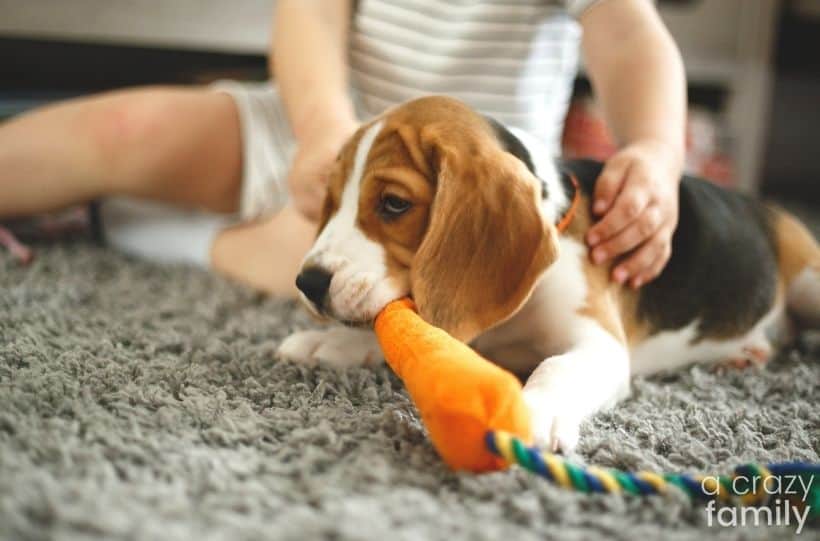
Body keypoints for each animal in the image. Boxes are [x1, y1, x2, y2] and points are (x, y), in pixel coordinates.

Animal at [278, 95, 820, 450]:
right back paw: (746, 353)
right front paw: (332, 343)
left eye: (393, 204)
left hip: (809, 281)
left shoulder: (600, 346)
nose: (308, 282)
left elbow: (556, 366)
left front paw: (534, 411)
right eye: (332, 200)